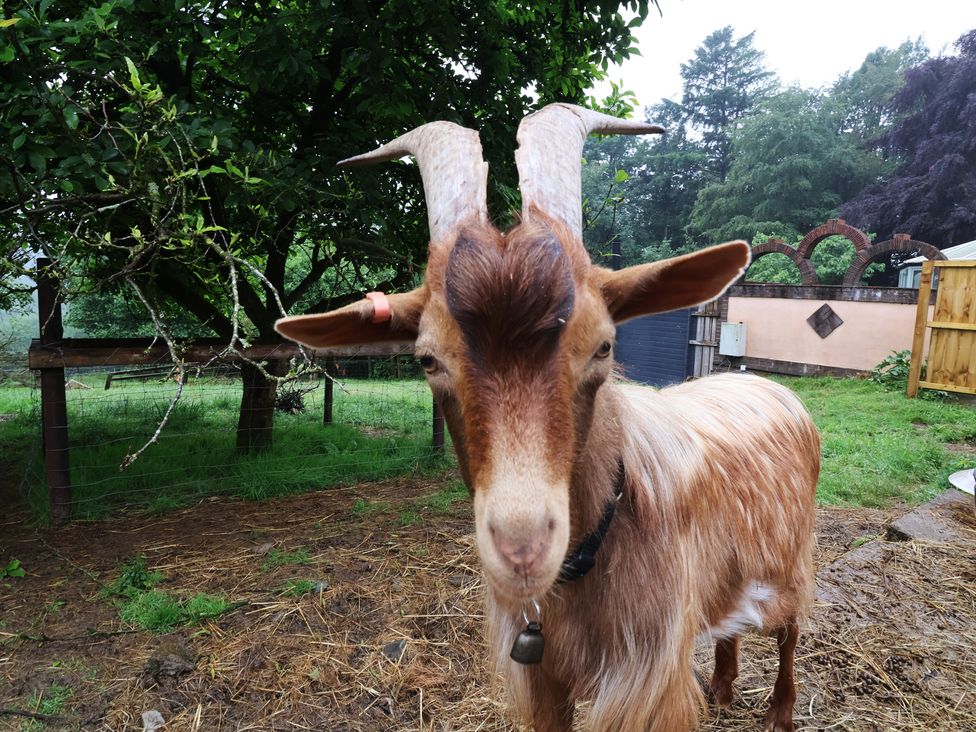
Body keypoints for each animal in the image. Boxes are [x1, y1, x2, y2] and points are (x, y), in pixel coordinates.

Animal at [276, 104, 819, 732]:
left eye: (604, 346)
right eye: (427, 359)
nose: (522, 550)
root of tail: (763, 382)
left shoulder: (648, 682)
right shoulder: (541, 678)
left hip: (792, 562)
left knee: (790, 629)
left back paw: (780, 710)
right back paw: (725, 687)